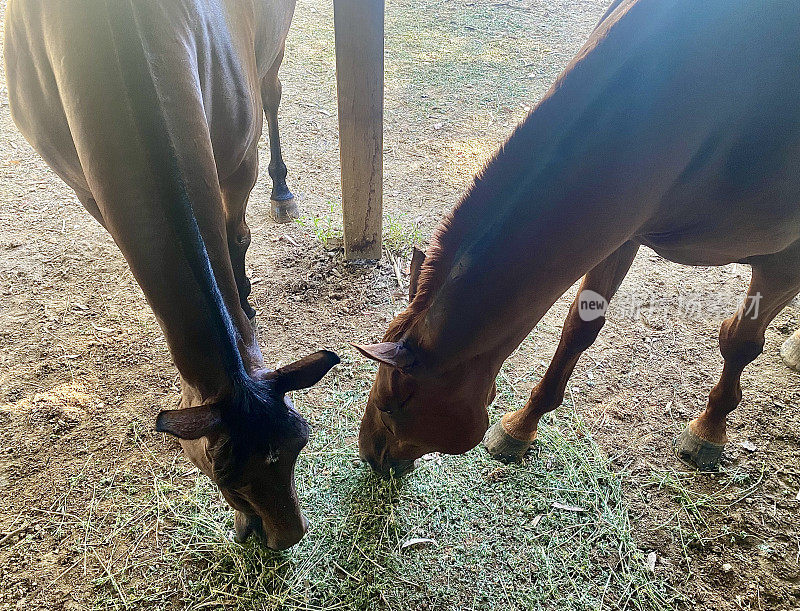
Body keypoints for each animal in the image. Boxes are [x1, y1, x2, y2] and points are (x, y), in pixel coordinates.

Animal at [3, 0, 334, 552]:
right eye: (222, 474)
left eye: (299, 443)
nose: (284, 537)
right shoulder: (87, 188)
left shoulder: (238, 157)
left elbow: (235, 235)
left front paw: (245, 308)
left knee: (272, 90)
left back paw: (282, 190)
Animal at [356, 0, 800, 476]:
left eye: (391, 404)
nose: (370, 455)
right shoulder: (619, 231)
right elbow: (578, 329)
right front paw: (521, 426)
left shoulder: (784, 264)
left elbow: (739, 342)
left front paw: (708, 431)